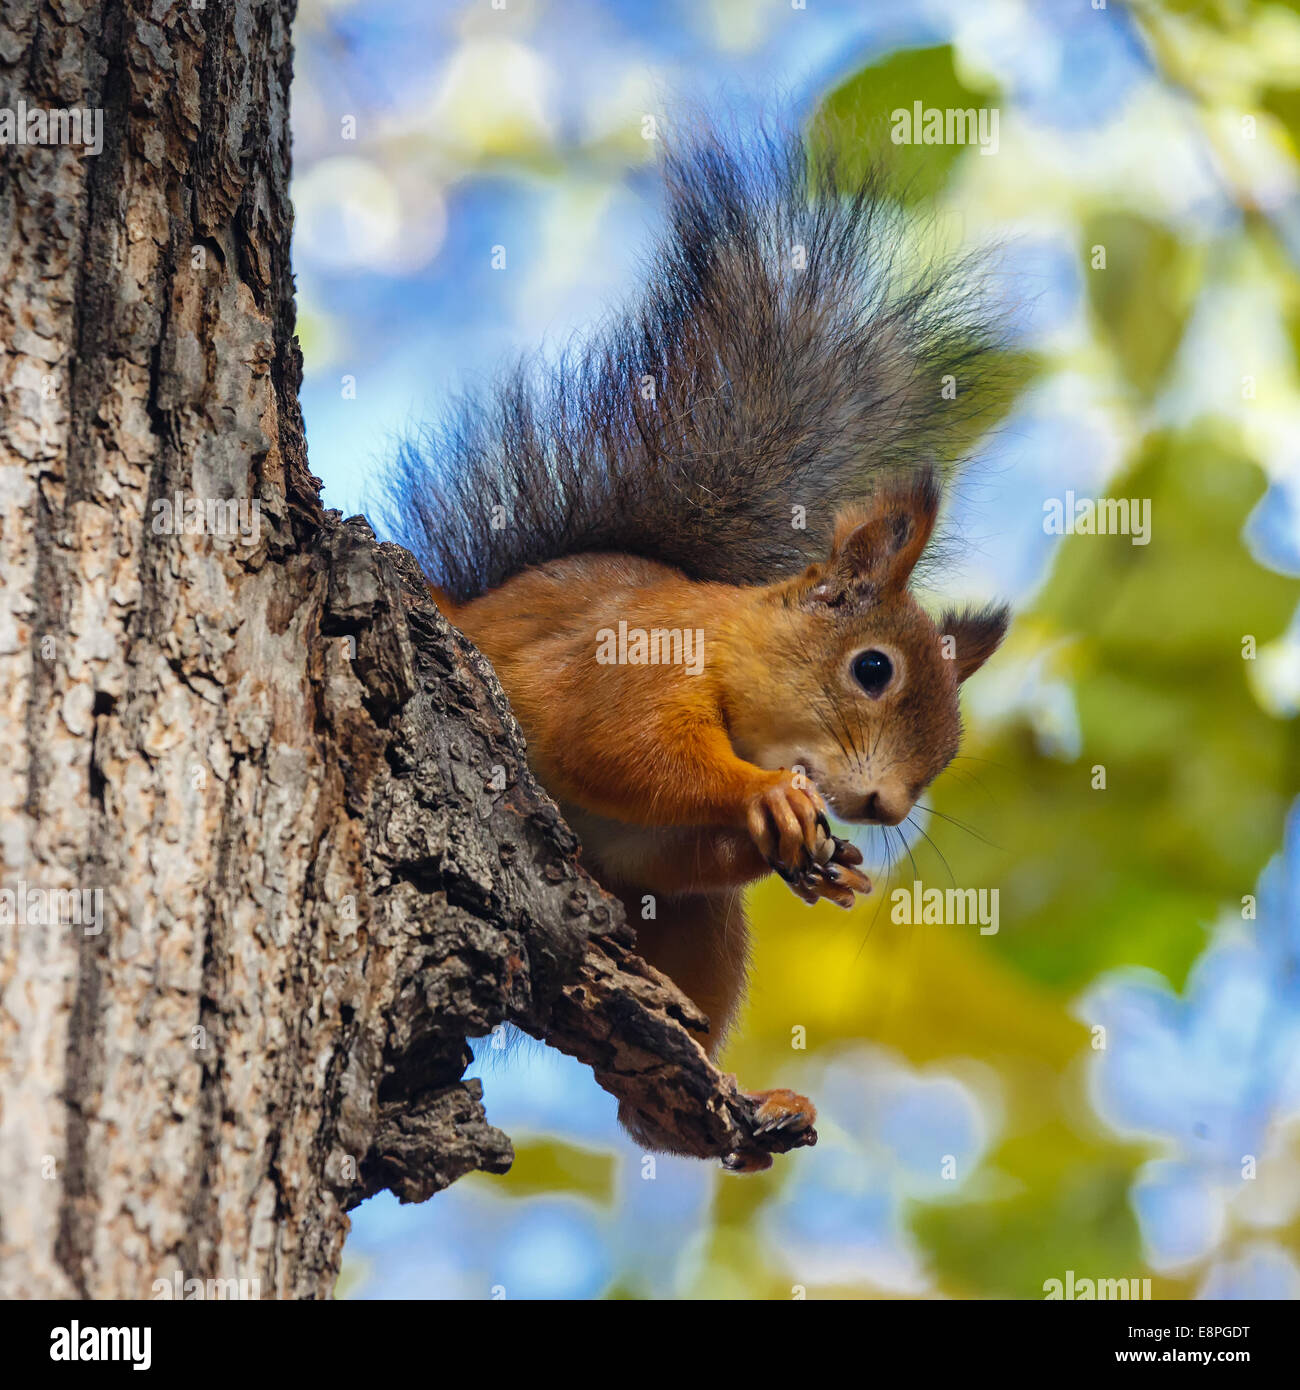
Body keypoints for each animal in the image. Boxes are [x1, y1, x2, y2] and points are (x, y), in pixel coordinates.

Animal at [389, 119, 1017, 1167]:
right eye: (873, 669)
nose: (886, 808)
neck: (728, 659)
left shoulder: (662, 864)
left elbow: (679, 851)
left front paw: (820, 863)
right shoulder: (627, 663)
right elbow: (619, 748)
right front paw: (767, 799)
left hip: (691, 936)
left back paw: (727, 1106)